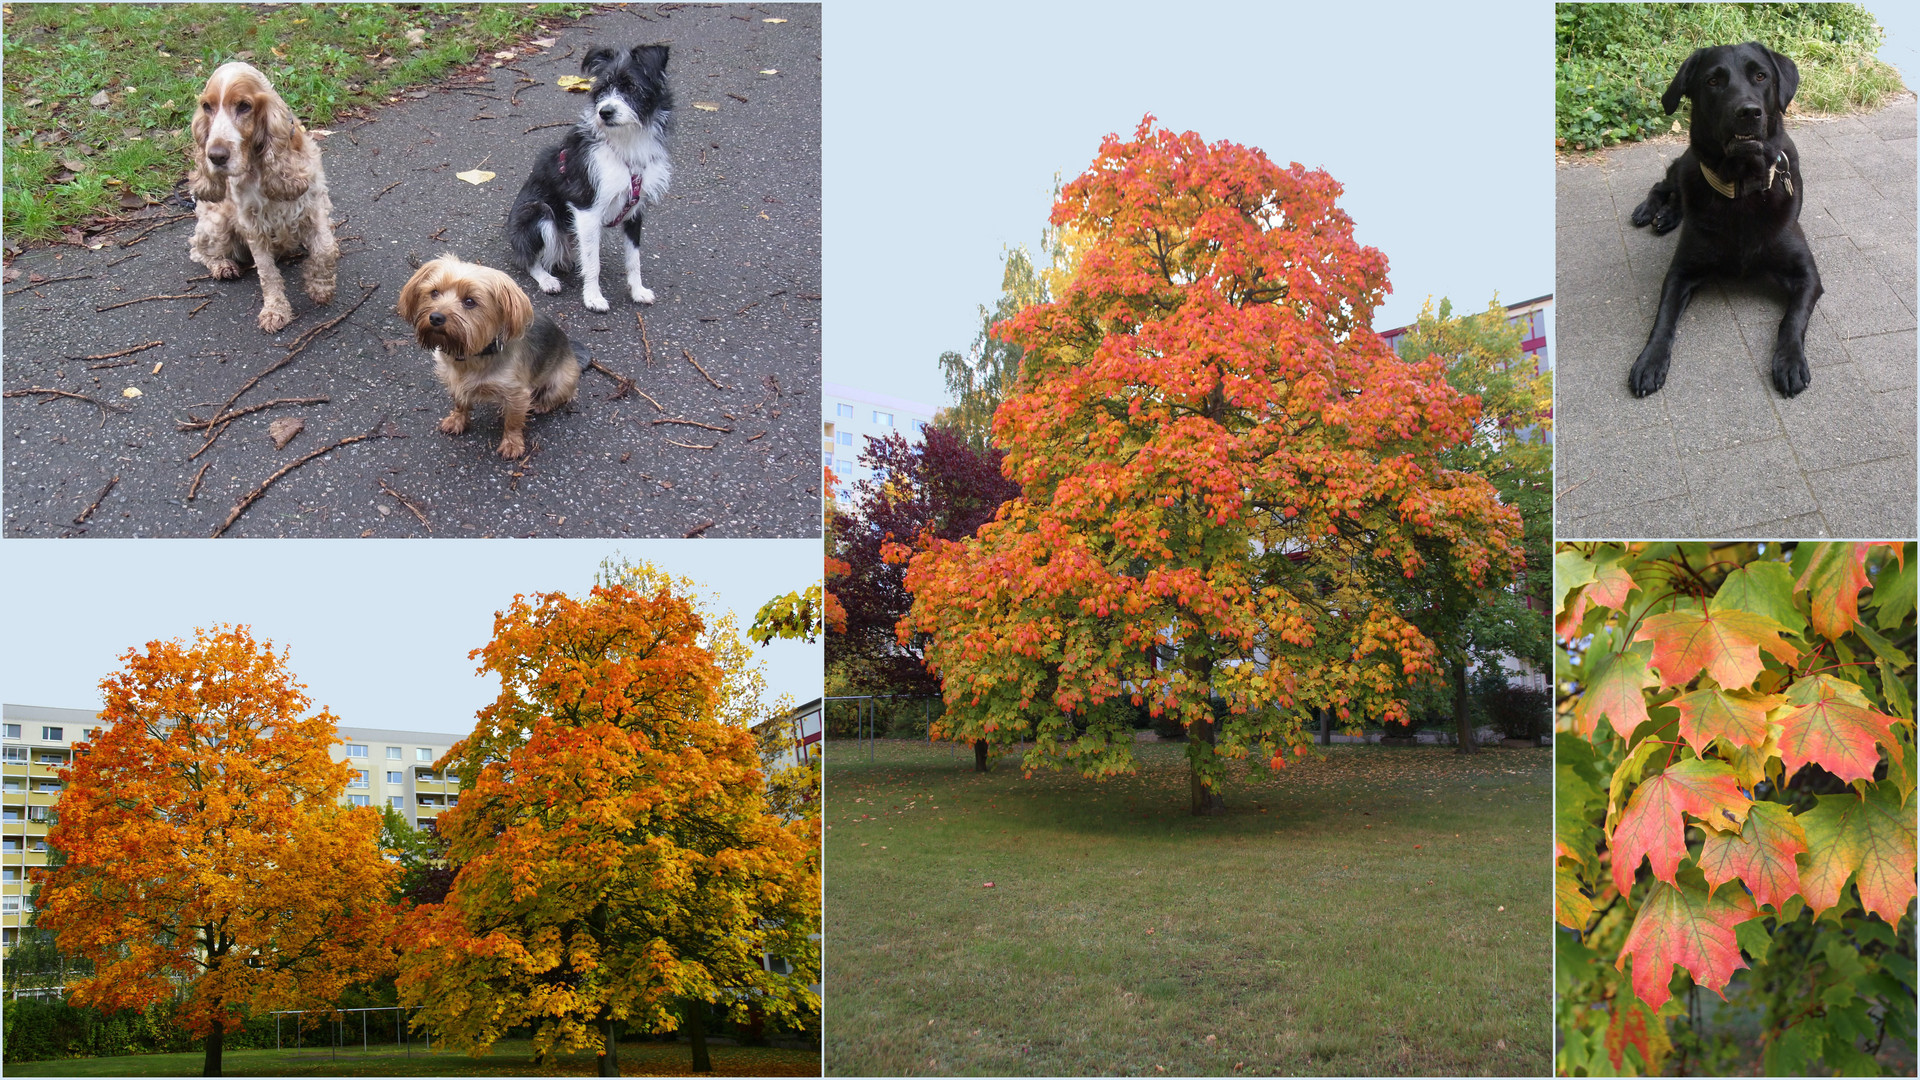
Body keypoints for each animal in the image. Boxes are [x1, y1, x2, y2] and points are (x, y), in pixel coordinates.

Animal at [506, 44, 672, 309]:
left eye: (631, 87)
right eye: (602, 88)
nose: (605, 112)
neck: (625, 145)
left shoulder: (635, 210)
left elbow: (634, 259)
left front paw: (637, 291)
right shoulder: (586, 210)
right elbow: (593, 264)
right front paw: (593, 297)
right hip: (537, 213)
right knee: (528, 260)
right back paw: (547, 279)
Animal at [1628, 42, 1820, 395]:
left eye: (1761, 76)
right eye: (1713, 81)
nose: (1748, 112)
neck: (1741, 189)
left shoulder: (1808, 275)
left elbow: (1792, 319)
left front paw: (1790, 361)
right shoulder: (1679, 273)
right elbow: (1662, 319)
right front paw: (1650, 360)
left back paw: (1667, 216)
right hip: (1687, 164)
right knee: (1664, 184)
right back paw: (1650, 211)